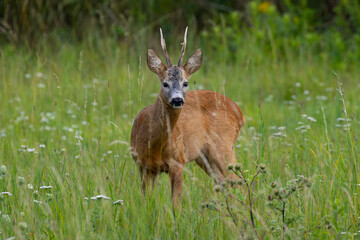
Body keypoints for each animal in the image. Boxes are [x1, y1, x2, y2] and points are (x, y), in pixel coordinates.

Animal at [130, 26, 245, 206]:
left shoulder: (178, 162)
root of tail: (238, 111)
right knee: (224, 184)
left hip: (224, 146)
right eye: (165, 83)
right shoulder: (143, 166)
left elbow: (176, 204)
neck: (153, 144)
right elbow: (146, 202)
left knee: (239, 183)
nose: (177, 100)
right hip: (204, 157)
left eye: (185, 83)